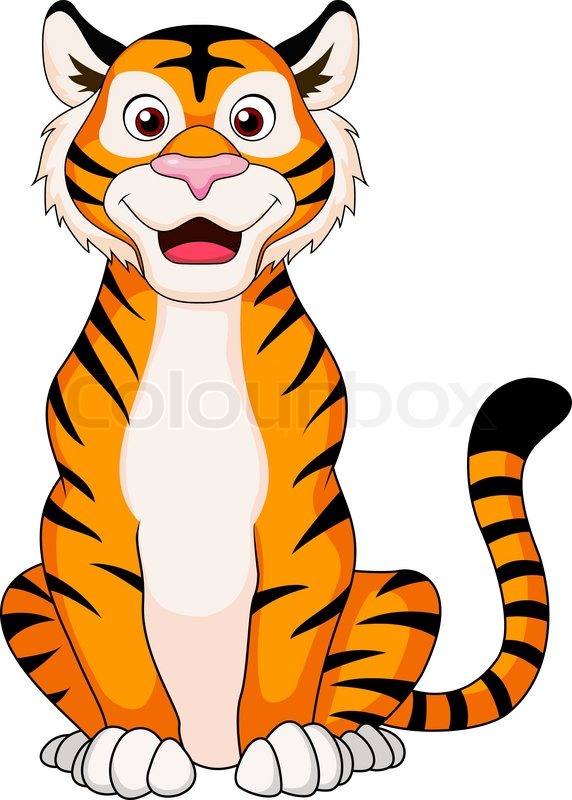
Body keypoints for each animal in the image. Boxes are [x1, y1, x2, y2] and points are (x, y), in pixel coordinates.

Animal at [1, 1, 570, 797]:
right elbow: (116, 647)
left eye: (250, 120)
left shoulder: (302, 514)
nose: (200, 169)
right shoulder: (87, 515)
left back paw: (357, 745)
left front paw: (286, 745)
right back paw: (75, 748)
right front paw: (138, 746)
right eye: (148, 120)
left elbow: (289, 642)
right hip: (22, 592)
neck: (199, 319)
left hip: (405, 592)